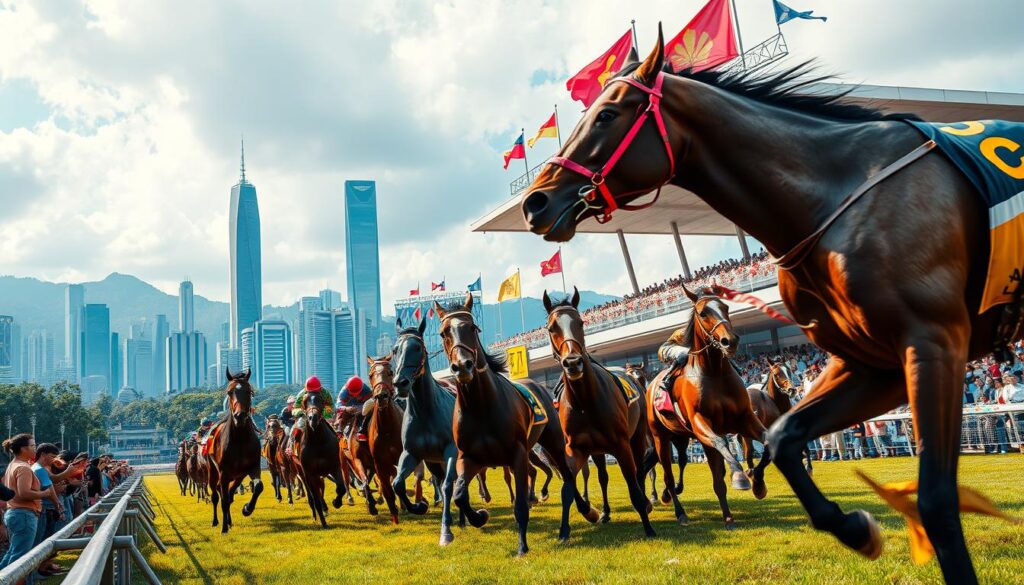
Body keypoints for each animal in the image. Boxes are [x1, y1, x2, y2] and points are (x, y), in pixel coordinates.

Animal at [205, 372, 264, 532]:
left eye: (249, 392)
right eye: (229, 392)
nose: (240, 415)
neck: (240, 439)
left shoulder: (252, 467)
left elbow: (258, 486)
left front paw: (247, 508)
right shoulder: (223, 473)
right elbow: (223, 500)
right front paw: (224, 528)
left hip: (237, 476)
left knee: (229, 494)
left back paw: (230, 520)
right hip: (213, 472)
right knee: (216, 496)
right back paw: (216, 521)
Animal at [434, 295, 598, 557]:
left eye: (473, 328)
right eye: (443, 333)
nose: (463, 366)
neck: (481, 407)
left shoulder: (517, 453)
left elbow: (520, 505)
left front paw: (522, 547)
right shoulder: (469, 457)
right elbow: (459, 494)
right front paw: (479, 516)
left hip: (552, 442)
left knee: (567, 475)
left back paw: (585, 513)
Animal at [544, 288, 655, 536]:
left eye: (581, 322)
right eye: (551, 327)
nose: (572, 362)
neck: (585, 402)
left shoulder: (622, 444)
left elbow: (633, 483)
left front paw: (648, 526)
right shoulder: (575, 448)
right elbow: (567, 489)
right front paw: (567, 529)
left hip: (637, 436)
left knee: (639, 471)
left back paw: (647, 501)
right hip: (597, 449)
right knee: (603, 477)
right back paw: (605, 512)